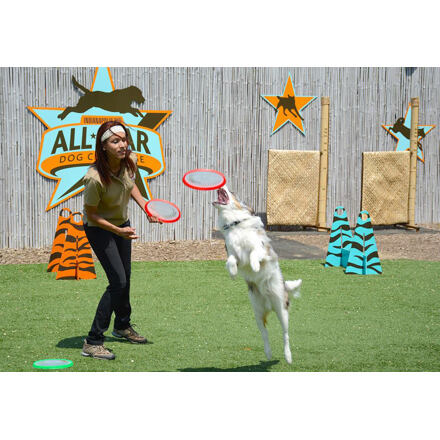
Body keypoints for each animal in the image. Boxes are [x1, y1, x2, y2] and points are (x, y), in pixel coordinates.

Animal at [213, 186, 302, 364]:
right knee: (265, 334)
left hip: (282, 309)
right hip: (257, 313)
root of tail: (269, 305)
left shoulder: (262, 249)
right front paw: (233, 273)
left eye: (232, 192)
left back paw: (288, 356)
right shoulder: (234, 255)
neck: (235, 226)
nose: (222, 185)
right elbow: (231, 261)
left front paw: (255, 267)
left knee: (285, 334)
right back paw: (268, 353)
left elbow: (254, 253)